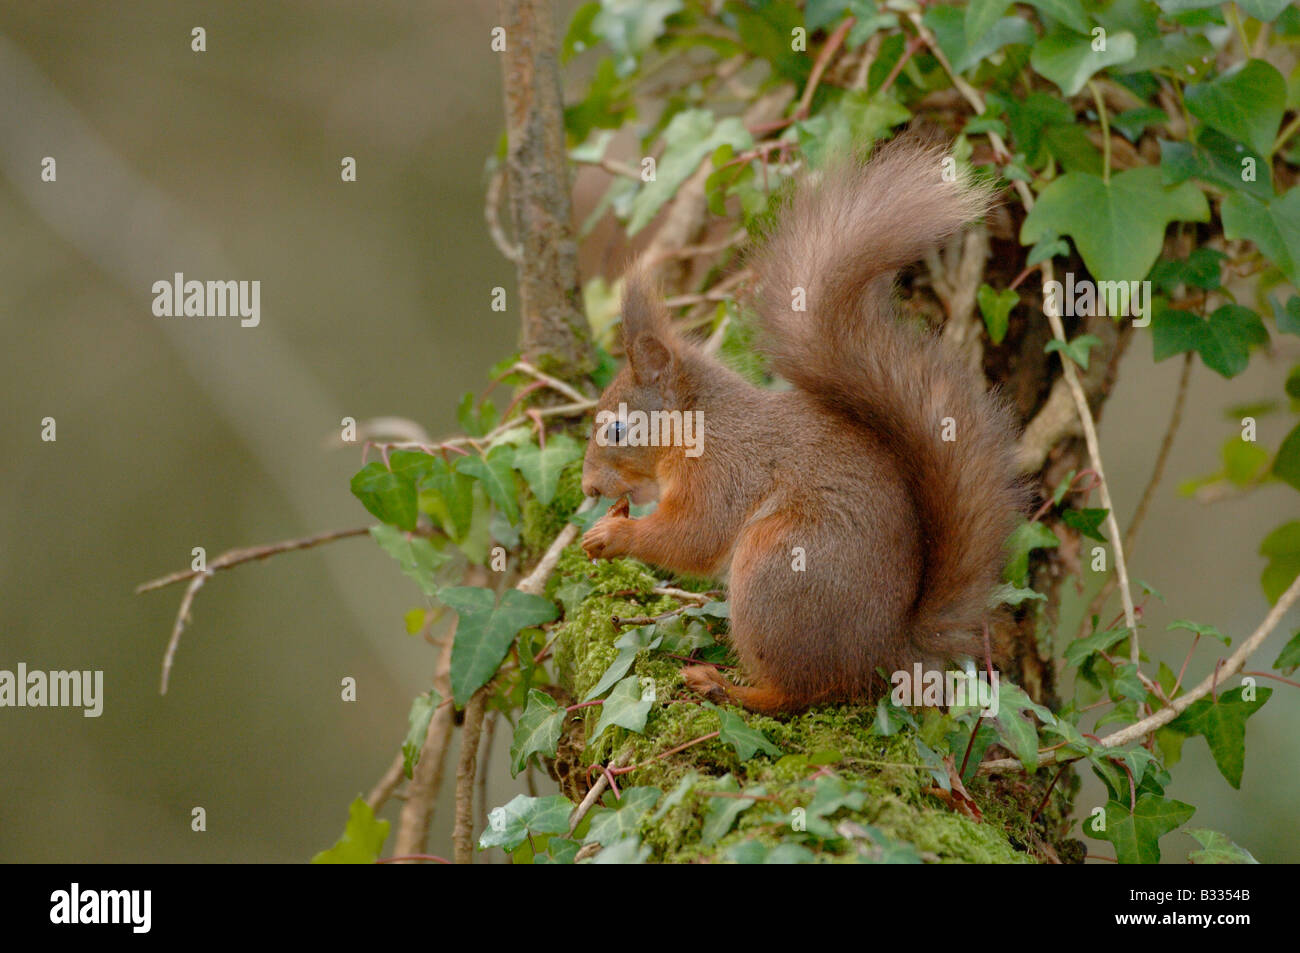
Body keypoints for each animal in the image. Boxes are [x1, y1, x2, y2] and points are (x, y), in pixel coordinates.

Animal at [582, 135, 1024, 712]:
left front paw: (614, 534)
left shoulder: (724, 472)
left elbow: (693, 536)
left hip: (774, 568)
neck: (698, 425)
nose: (589, 487)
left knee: (799, 692)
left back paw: (724, 686)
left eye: (616, 429)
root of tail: (884, 655)